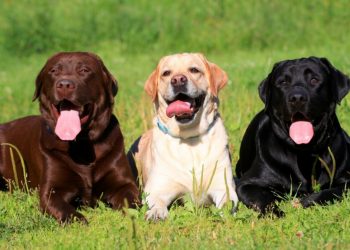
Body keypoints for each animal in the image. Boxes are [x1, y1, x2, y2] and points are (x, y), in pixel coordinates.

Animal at [0, 51, 139, 224]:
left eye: (84, 70)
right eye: (53, 71)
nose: (65, 84)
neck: (81, 144)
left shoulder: (124, 183)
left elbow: (132, 200)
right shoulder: (52, 190)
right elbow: (64, 209)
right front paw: (79, 220)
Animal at [235, 57, 350, 215]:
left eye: (314, 79)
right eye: (283, 82)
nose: (297, 98)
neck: (305, 153)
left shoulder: (346, 180)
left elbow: (330, 191)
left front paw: (306, 201)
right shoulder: (247, 184)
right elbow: (264, 198)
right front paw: (276, 214)